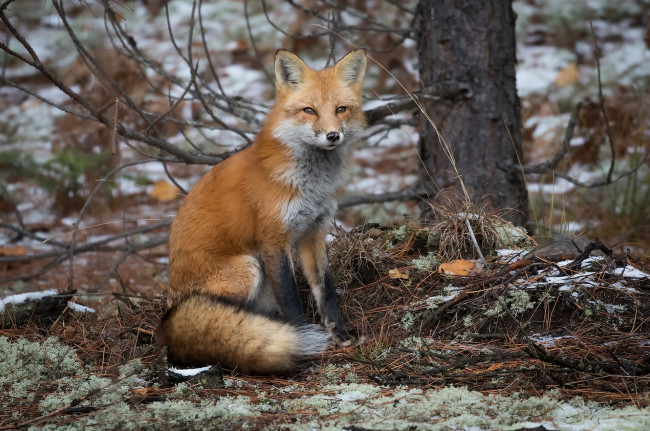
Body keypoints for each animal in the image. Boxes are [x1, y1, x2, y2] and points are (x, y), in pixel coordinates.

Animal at [160, 49, 368, 374]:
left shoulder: (313, 232)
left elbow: (326, 289)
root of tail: (170, 312)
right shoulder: (274, 239)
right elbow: (291, 299)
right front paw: (301, 338)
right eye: (309, 111)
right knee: (227, 318)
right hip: (247, 267)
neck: (309, 185)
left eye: (341, 109)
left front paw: (340, 334)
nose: (333, 135)